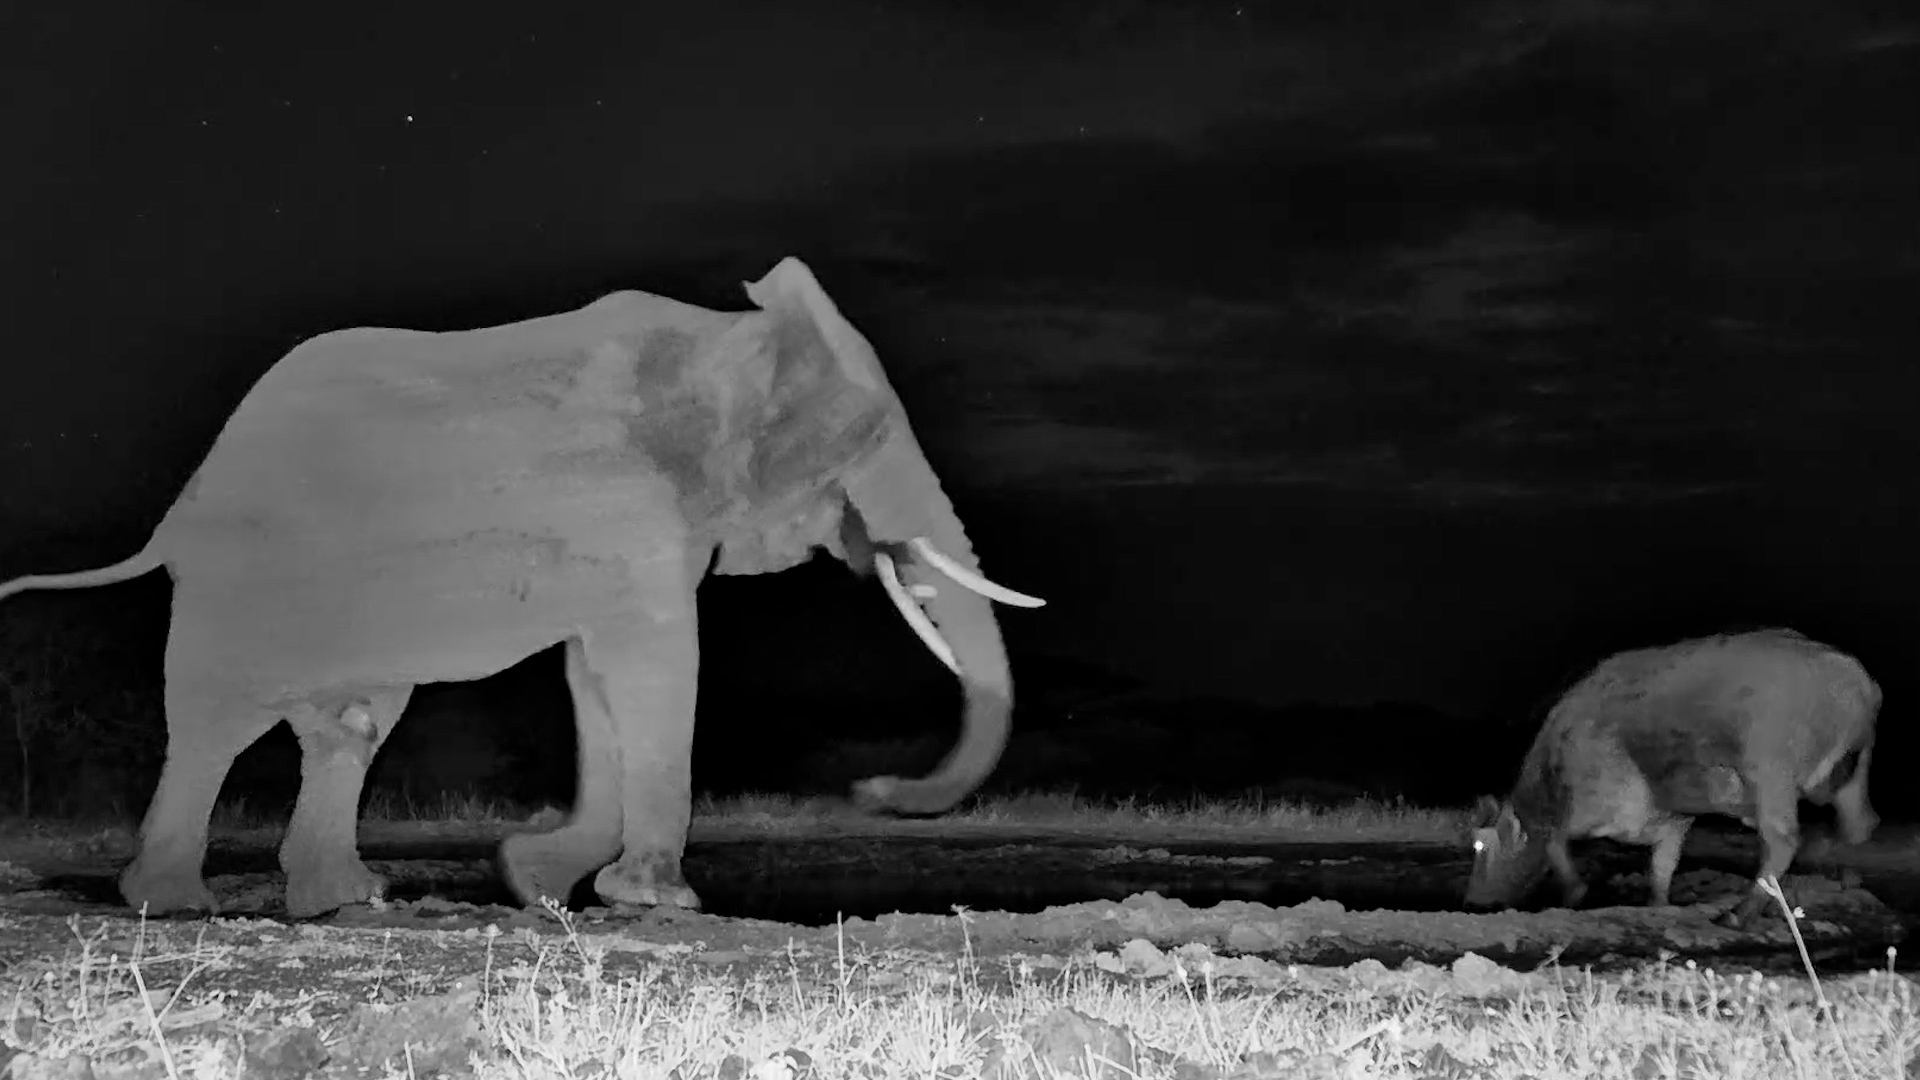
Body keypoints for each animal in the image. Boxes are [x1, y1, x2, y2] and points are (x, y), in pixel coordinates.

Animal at [0, 256, 1044, 918]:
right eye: (865, 442)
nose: (873, 788)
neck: (722, 341)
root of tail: (180, 510)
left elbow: (598, 677)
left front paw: (534, 878)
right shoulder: (629, 512)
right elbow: (656, 663)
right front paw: (659, 899)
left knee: (349, 723)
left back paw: (343, 899)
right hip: (250, 581)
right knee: (223, 720)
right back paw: (174, 904)